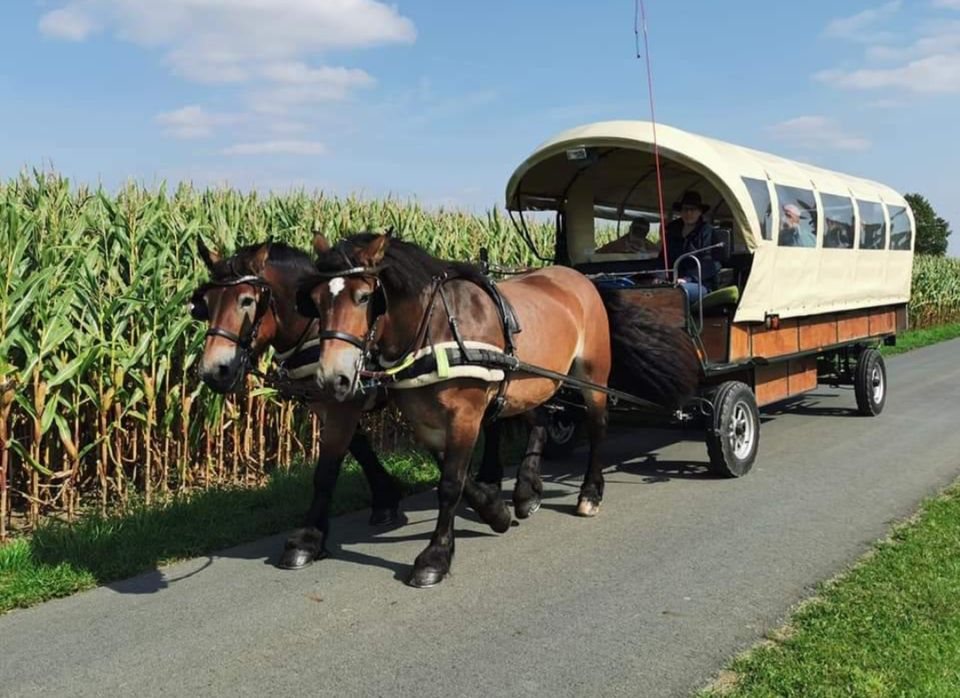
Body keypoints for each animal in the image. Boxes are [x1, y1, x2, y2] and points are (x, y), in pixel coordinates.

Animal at [300, 231, 696, 584]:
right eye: (315, 300)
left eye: (365, 297)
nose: (331, 378)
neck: (436, 330)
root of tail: (582, 279)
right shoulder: (425, 420)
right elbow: (458, 477)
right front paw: (497, 512)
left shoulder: (465, 414)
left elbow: (450, 483)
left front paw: (435, 558)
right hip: (530, 381)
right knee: (541, 420)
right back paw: (526, 492)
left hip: (592, 374)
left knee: (598, 428)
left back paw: (589, 494)